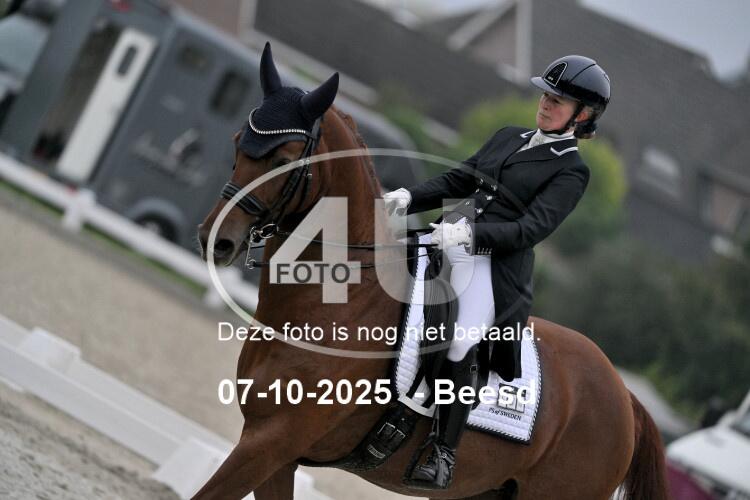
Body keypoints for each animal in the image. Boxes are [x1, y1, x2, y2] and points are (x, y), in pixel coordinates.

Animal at [194, 46, 668, 500]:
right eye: (238, 142)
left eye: (285, 159)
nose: (214, 241)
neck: (343, 303)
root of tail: (626, 397)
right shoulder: (275, 455)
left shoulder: (271, 443)